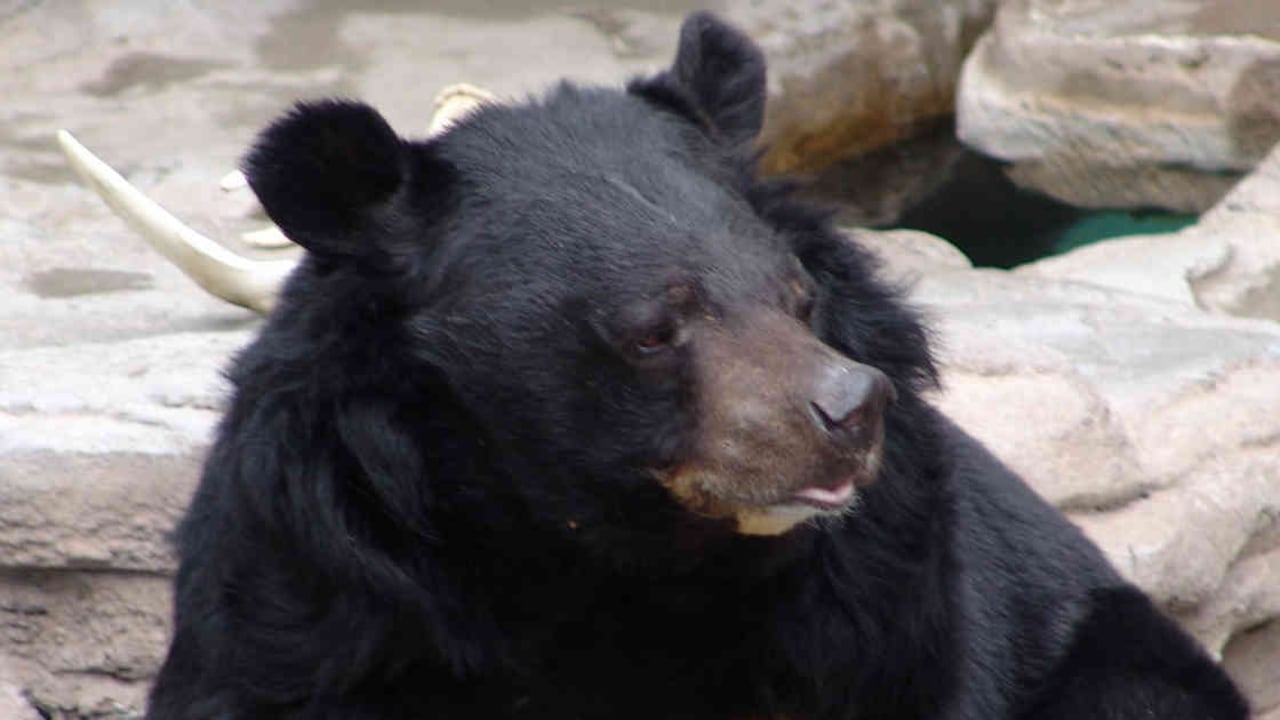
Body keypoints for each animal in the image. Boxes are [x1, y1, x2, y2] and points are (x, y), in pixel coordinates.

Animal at [146, 12, 1250, 720]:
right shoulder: (322, 588)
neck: (593, 558)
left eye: (796, 296)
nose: (849, 410)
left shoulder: (875, 620)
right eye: (652, 328)